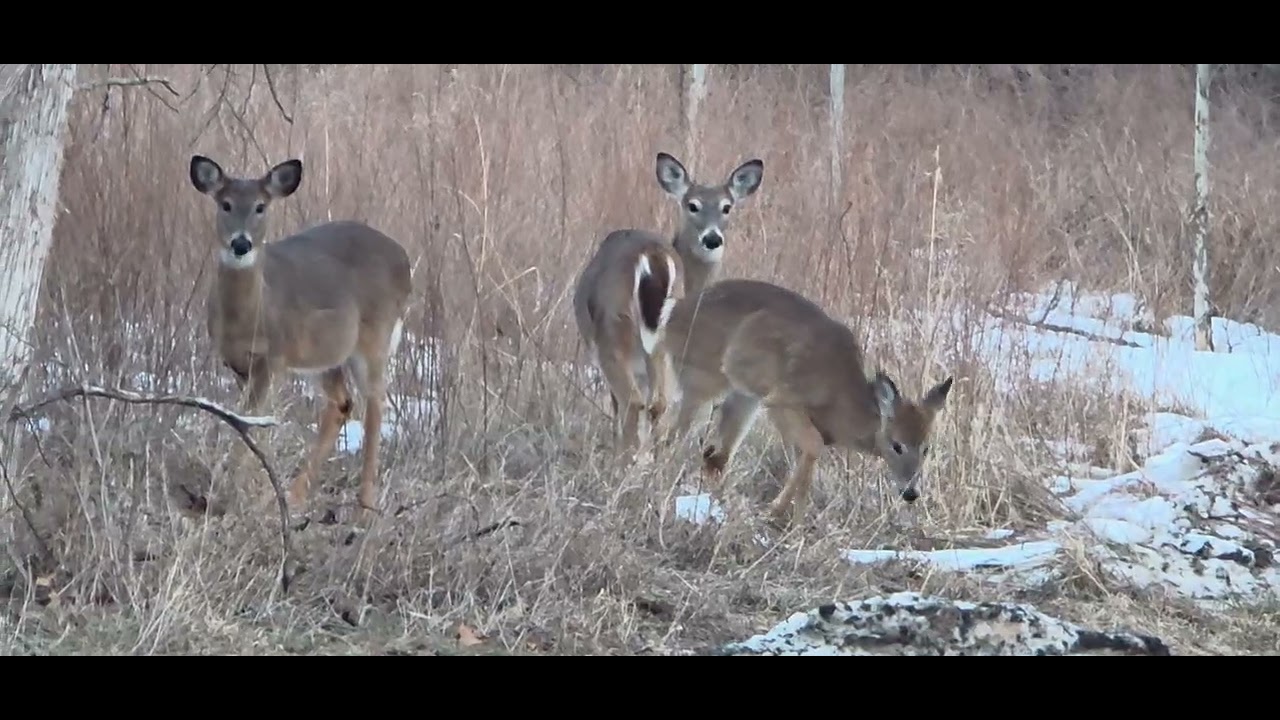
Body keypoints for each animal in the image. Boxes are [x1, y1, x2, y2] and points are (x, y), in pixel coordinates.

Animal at [188, 154, 413, 524]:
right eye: (225, 204)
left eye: (261, 206)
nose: (241, 244)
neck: (251, 316)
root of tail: (404, 258)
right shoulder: (237, 365)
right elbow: (245, 423)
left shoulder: (275, 359)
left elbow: (252, 424)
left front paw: (230, 496)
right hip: (327, 355)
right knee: (342, 403)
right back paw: (296, 496)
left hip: (374, 337)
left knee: (375, 404)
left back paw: (364, 508)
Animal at [571, 151, 764, 452]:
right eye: (692, 205)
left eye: (727, 207)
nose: (712, 238)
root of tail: (652, 258)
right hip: (662, 341)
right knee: (657, 403)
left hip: (614, 329)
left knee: (634, 402)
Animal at [659, 278, 953, 527]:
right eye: (896, 445)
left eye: (927, 448)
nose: (911, 492)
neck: (841, 401)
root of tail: (671, 316)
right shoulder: (781, 400)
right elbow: (814, 446)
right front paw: (779, 512)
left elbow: (804, 459)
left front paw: (791, 518)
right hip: (702, 378)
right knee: (672, 434)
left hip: (744, 398)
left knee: (715, 455)